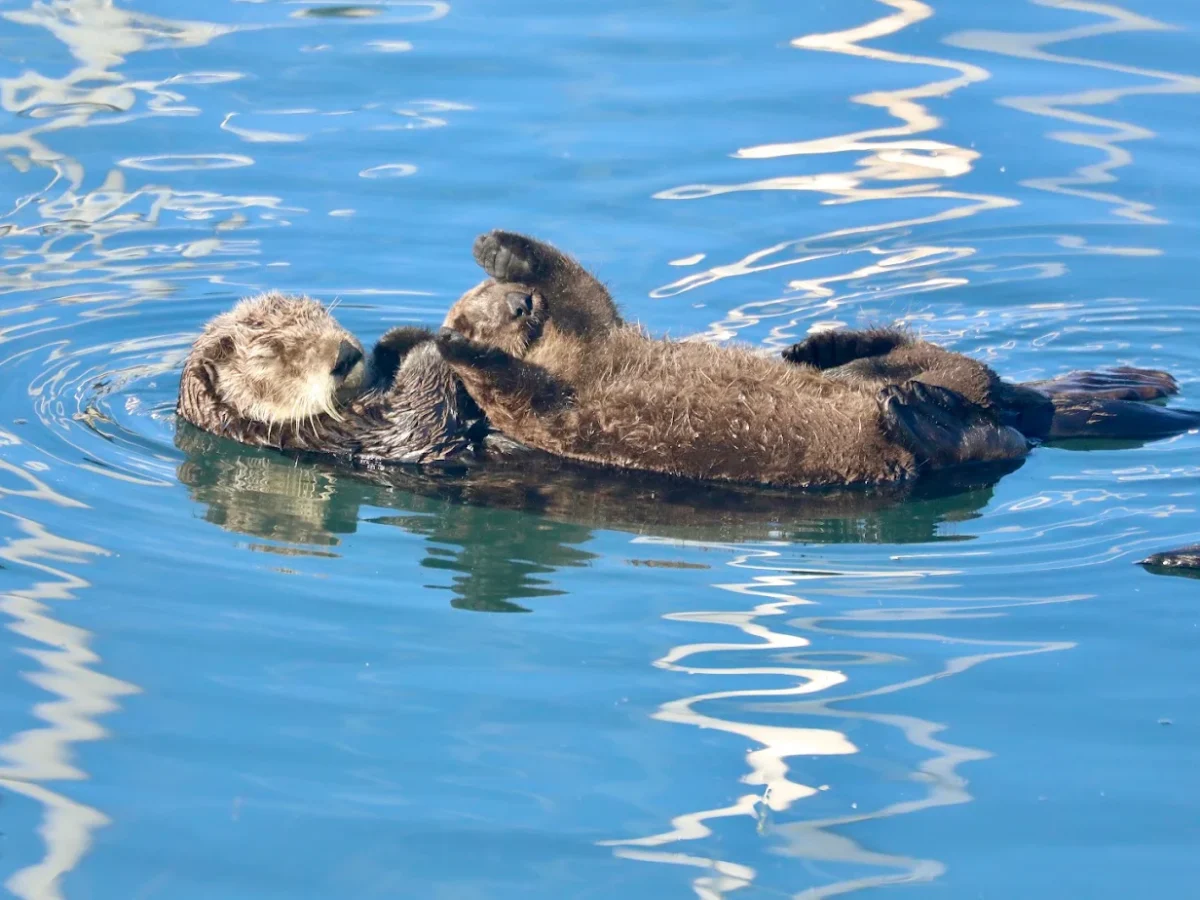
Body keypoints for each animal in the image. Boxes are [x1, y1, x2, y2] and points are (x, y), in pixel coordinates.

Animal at [435, 230, 1200, 488]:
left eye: (502, 300)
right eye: (480, 313)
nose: (519, 307)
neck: (567, 360)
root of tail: (1028, 407)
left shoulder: (594, 337)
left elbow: (578, 286)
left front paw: (502, 249)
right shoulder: (553, 401)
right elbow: (522, 380)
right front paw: (456, 347)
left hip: (950, 375)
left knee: (943, 366)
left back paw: (828, 349)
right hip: (919, 447)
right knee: (983, 441)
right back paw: (920, 413)